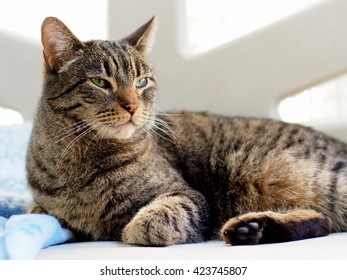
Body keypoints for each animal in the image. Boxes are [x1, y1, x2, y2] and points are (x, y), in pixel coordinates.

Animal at [26, 16, 347, 246]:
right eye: (100, 82)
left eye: (141, 82)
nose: (132, 106)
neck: (80, 161)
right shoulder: (48, 207)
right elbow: (39, 212)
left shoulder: (186, 194)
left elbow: (162, 214)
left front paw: (137, 227)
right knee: (323, 221)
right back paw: (252, 228)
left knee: (327, 221)